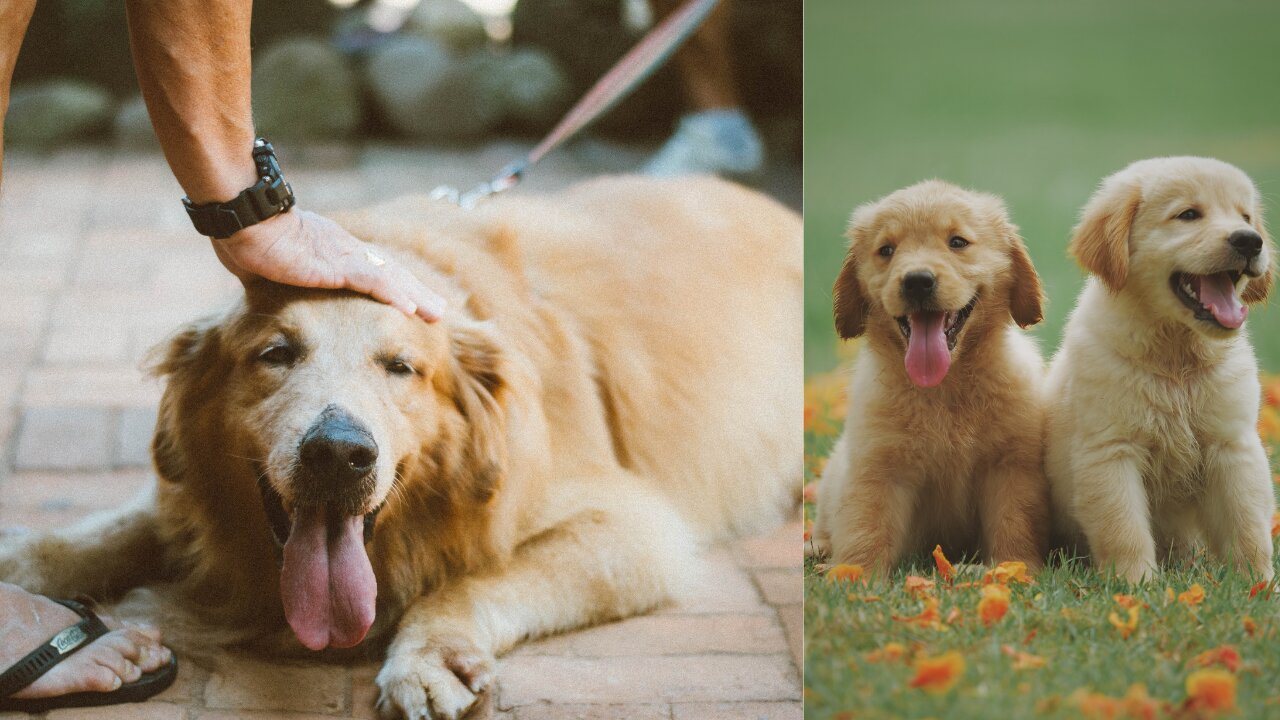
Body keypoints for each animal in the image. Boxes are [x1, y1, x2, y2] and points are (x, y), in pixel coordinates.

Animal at [0, 175, 798, 717]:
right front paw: (22, 566)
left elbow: (474, 578)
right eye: (276, 354)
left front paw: (429, 656)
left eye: (402, 367)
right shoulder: (184, 495)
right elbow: (102, 533)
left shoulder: (633, 527)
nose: (337, 454)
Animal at [808, 180, 1049, 571]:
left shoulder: (1011, 465)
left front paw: (1015, 568)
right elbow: (866, 525)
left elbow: (1014, 522)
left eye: (958, 242)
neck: (943, 387)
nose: (917, 282)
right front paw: (854, 573)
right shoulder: (878, 466)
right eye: (886, 250)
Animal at [1044, 156, 1274, 584]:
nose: (1251, 240)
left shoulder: (1232, 446)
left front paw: (1258, 584)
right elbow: (1124, 528)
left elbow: (1248, 524)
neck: (1175, 359)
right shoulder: (1110, 451)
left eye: (1245, 216)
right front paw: (1137, 585)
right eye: (1188, 215)